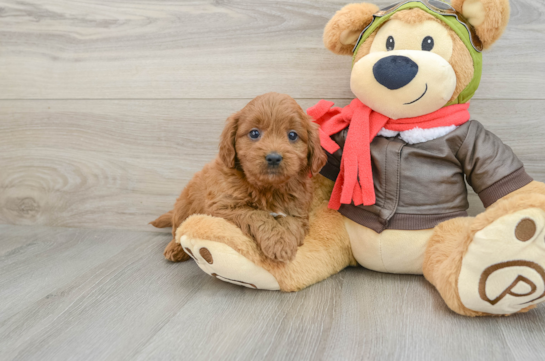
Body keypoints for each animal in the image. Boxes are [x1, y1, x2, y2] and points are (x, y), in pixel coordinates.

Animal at [151, 93, 326, 262]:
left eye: (292, 135)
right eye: (254, 133)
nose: (274, 158)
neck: (268, 188)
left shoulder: (298, 210)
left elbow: (291, 224)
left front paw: (286, 242)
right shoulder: (222, 206)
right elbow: (257, 214)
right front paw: (278, 242)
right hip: (184, 205)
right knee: (179, 230)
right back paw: (175, 248)